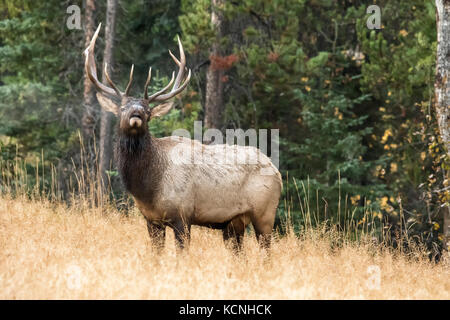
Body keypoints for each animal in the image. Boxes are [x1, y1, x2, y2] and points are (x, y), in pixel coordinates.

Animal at [83, 23, 282, 251]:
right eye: (122, 108)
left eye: (148, 110)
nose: (137, 114)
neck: (148, 188)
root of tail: (277, 173)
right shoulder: (151, 220)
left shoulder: (183, 215)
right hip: (234, 223)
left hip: (265, 213)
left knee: (266, 250)